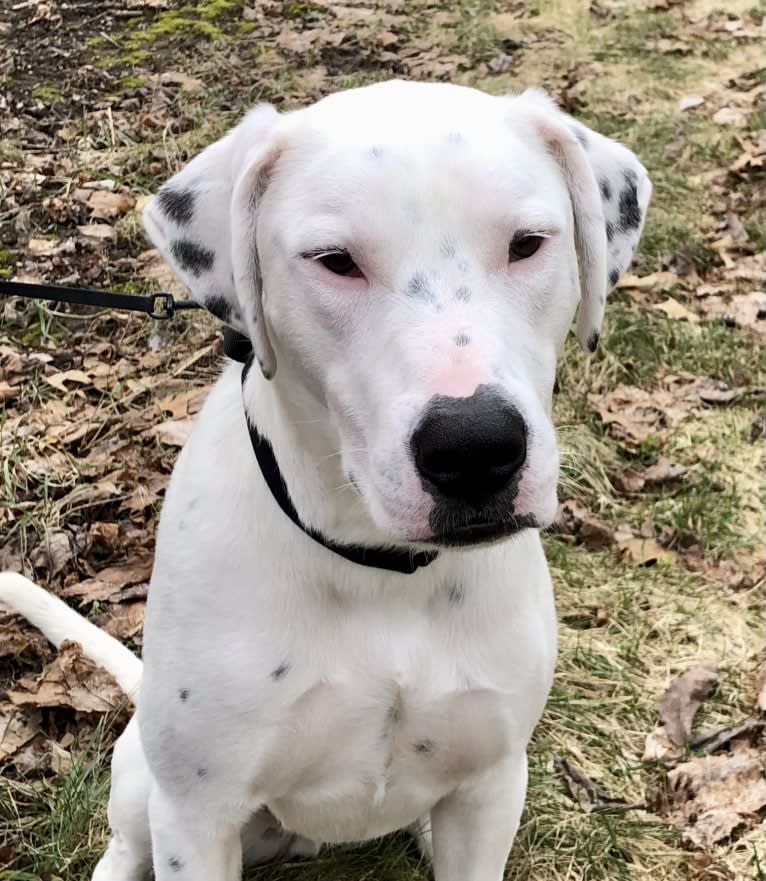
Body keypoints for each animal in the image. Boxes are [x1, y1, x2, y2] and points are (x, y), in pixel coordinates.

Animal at [0, 81, 652, 880]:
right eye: (335, 261)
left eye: (528, 242)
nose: (475, 449)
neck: (380, 567)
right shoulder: (197, 815)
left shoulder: (492, 784)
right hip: (144, 779)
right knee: (126, 844)